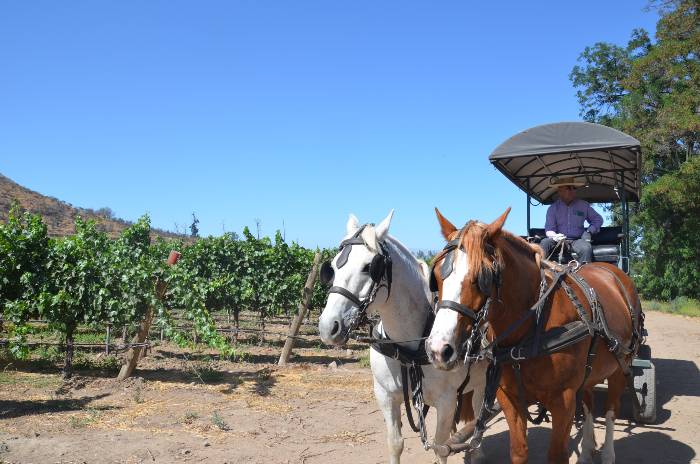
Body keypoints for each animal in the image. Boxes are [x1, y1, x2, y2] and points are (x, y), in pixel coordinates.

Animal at [318, 211, 486, 464]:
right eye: (334, 267)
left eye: (369, 267)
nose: (329, 327)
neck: (409, 348)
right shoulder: (385, 396)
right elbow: (395, 443)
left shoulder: (446, 402)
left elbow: (440, 448)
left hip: (482, 385)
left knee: (478, 426)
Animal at [424, 208, 644, 462]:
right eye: (436, 276)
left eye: (483, 277)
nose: (438, 349)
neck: (530, 331)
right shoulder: (509, 399)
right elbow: (519, 451)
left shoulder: (564, 401)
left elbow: (557, 454)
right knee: (589, 402)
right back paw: (587, 450)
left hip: (621, 365)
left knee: (610, 411)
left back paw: (608, 454)